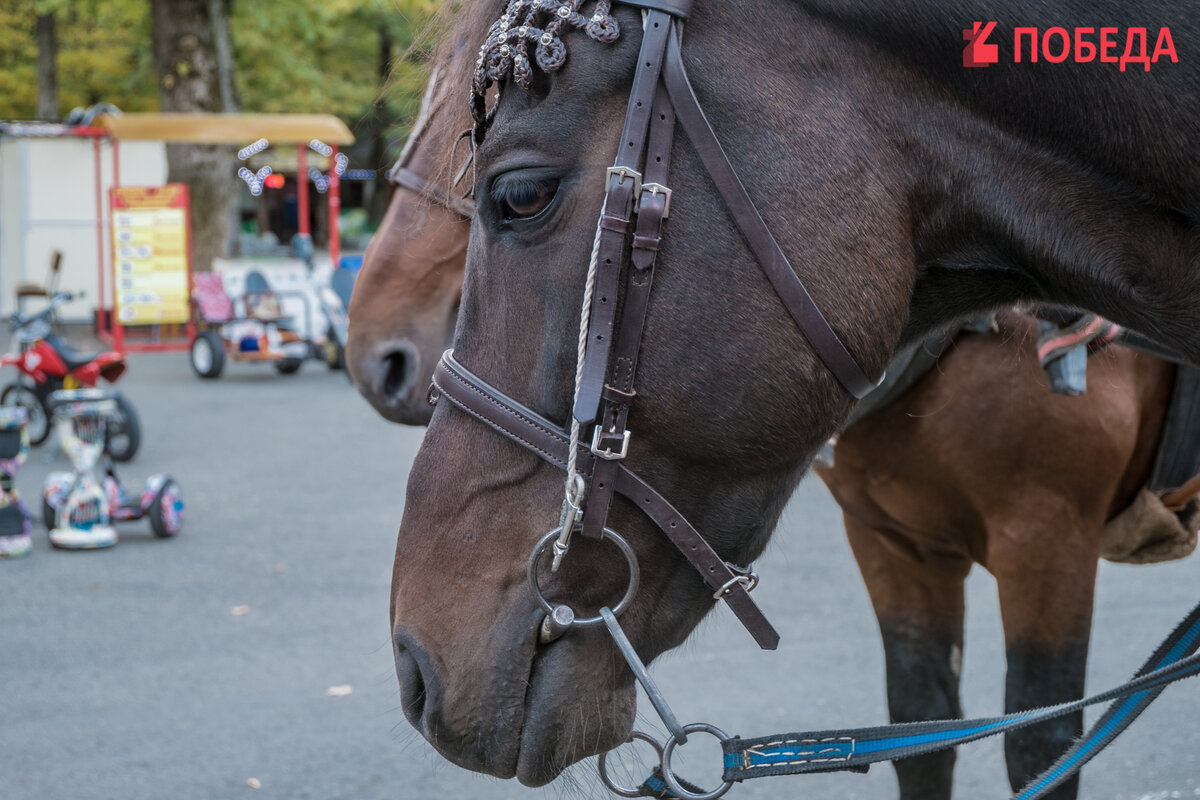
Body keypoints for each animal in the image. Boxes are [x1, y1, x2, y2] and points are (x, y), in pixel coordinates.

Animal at [379, 0, 1195, 786]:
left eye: (521, 195)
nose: (415, 666)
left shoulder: (1047, 541)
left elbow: (1042, 741)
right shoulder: (894, 543)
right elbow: (922, 731)